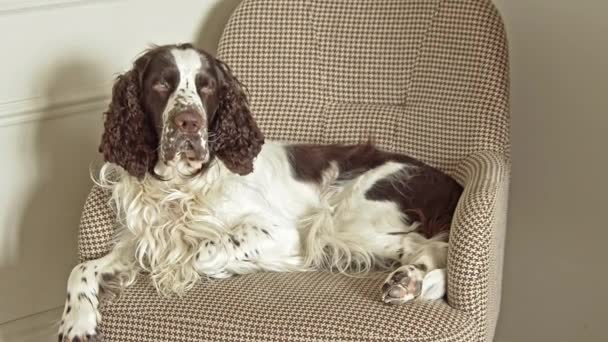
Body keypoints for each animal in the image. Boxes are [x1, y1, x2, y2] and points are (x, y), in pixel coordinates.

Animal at [59, 44, 464, 340]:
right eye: (161, 83)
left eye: (206, 85)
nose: (188, 123)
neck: (181, 185)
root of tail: (452, 185)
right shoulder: (143, 241)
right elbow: (82, 268)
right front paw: (76, 320)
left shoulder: (282, 232)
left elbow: (202, 251)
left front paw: (217, 267)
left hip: (345, 219)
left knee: (431, 247)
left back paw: (408, 281)